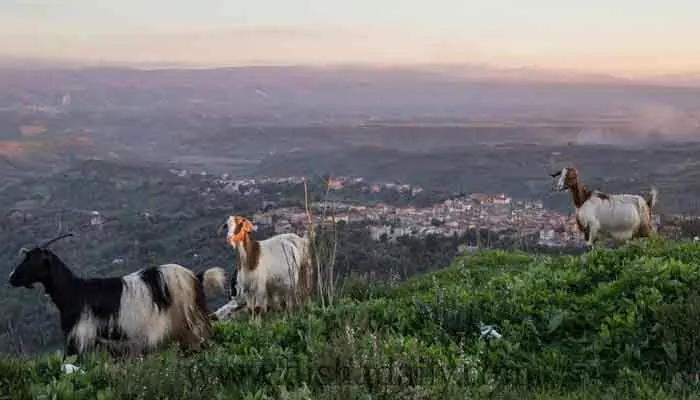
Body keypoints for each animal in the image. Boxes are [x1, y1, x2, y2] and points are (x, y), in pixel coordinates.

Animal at [8, 233, 227, 358]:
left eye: (33, 260)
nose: (11, 278)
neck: (74, 292)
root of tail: (195, 277)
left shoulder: (78, 335)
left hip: (190, 322)